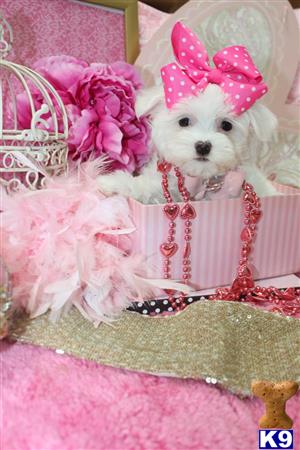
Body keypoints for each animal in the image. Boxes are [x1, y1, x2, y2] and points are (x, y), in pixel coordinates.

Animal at [97, 23, 278, 203]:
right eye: (183, 121)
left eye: (226, 125)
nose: (203, 146)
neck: (202, 182)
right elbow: (145, 186)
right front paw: (113, 183)